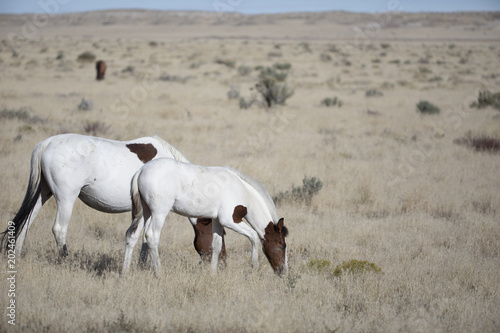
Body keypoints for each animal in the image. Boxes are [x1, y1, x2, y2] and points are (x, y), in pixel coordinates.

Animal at [0, 132, 227, 262]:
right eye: (219, 235)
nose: (224, 260)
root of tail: (46, 143)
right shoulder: (148, 211)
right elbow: (141, 238)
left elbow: (142, 240)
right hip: (66, 198)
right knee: (59, 230)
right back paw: (65, 261)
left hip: (43, 193)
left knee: (25, 224)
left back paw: (17, 256)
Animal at [122, 158, 290, 274]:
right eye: (282, 245)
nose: (283, 271)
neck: (242, 190)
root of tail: (141, 171)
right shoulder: (230, 220)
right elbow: (254, 236)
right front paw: (254, 267)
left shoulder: (217, 221)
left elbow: (216, 245)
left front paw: (212, 273)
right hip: (159, 212)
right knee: (152, 236)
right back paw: (159, 273)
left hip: (146, 212)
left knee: (133, 234)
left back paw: (125, 272)